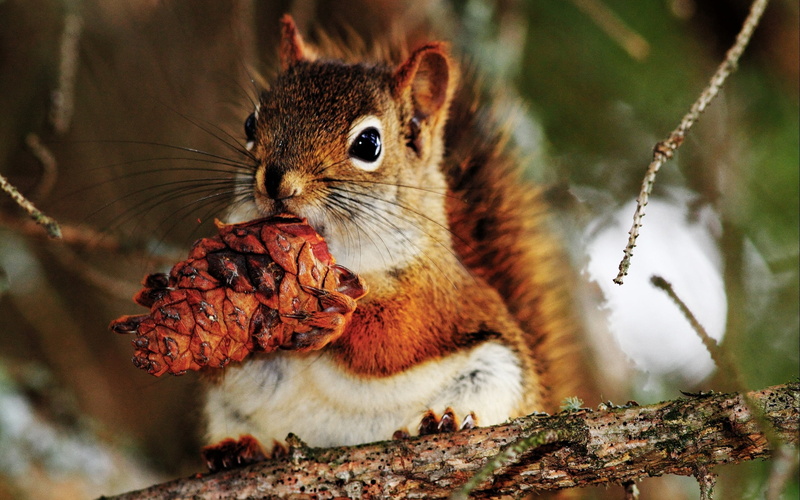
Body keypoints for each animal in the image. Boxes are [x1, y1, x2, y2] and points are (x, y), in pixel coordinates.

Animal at [201, 15, 586, 467]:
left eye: (368, 145)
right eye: (250, 123)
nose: (276, 181)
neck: (338, 255)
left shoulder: (433, 296)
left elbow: (393, 337)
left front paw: (336, 313)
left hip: (498, 373)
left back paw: (444, 419)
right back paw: (242, 447)